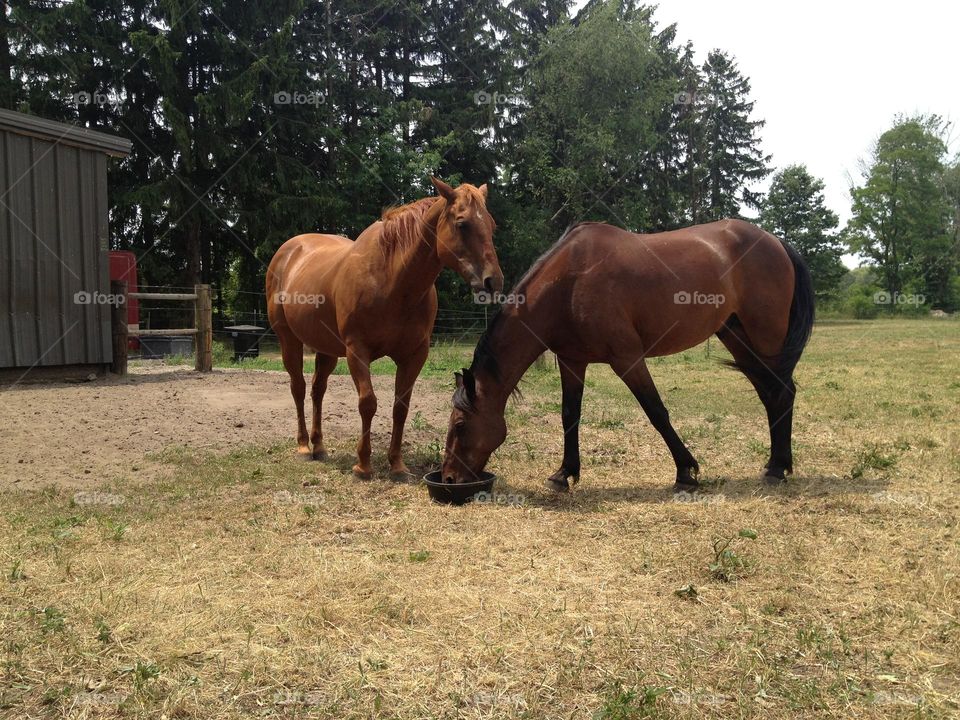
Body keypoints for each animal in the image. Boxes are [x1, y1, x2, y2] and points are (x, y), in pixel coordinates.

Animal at [267, 177, 503, 479]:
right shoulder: (357, 351)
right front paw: (363, 464)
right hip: (289, 341)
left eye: (491, 225)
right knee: (298, 387)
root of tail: (288, 251)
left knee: (317, 391)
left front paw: (397, 464)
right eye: (462, 223)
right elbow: (368, 403)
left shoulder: (414, 355)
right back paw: (304, 447)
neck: (391, 279)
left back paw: (319, 446)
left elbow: (400, 407)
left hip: (326, 349)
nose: (493, 281)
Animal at [441, 219, 815, 491]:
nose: (448, 478)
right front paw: (564, 473)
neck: (570, 282)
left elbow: (656, 411)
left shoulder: (627, 359)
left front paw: (686, 471)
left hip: (766, 337)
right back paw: (776, 464)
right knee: (771, 395)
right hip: (738, 337)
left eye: (460, 425)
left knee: (782, 392)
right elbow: (569, 415)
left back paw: (777, 468)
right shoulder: (572, 361)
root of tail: (775, 241)